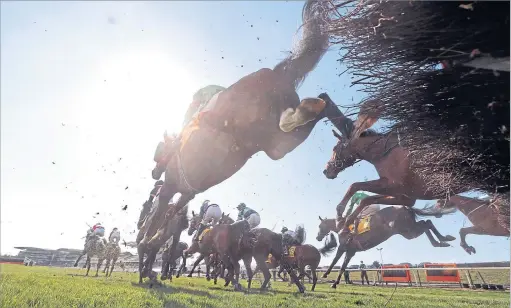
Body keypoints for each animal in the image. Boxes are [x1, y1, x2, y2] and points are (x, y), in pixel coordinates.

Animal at [142, 0, 354, 258]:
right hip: (276, 146)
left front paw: (145, 239)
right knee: (322, 103)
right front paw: (152, 240)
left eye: (157, 150)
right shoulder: (185, 193)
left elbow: (158, 214)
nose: (154, 172)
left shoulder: (171, 187)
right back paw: (344, 125)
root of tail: (275, 74)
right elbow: (169, 215)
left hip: (256, 128)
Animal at [318, 205, 458, 288]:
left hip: (407, 230)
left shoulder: (345, 248)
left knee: (426, 224)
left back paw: (441, 241)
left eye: (319, 226)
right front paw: (330, 278)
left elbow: (337, 263)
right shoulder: (351, 251)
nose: (317, 237)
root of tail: (404, 207)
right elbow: (341, 265)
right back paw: (443, 240)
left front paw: (329, 278)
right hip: (408, 230)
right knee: (426, 222)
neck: (342, 227)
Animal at [322, 93, 470, 238]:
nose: (326, 171)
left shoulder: (394, 185)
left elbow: (355, 186)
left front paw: (340, 219)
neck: (385, 154)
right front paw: (344, 225)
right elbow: (367, 199)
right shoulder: (405, 197)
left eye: (334, 148)